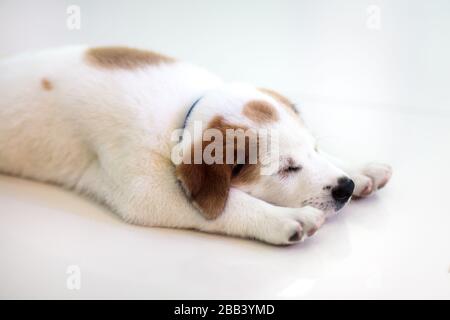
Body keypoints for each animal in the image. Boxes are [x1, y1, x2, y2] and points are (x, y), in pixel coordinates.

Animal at [0, 45, 390, 245]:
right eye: (286, 169)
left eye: (315, 149)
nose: (345, 187)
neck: (185, 112)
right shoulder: (147, 191)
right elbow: (228, 207)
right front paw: (283, 218)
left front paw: (360, 169)